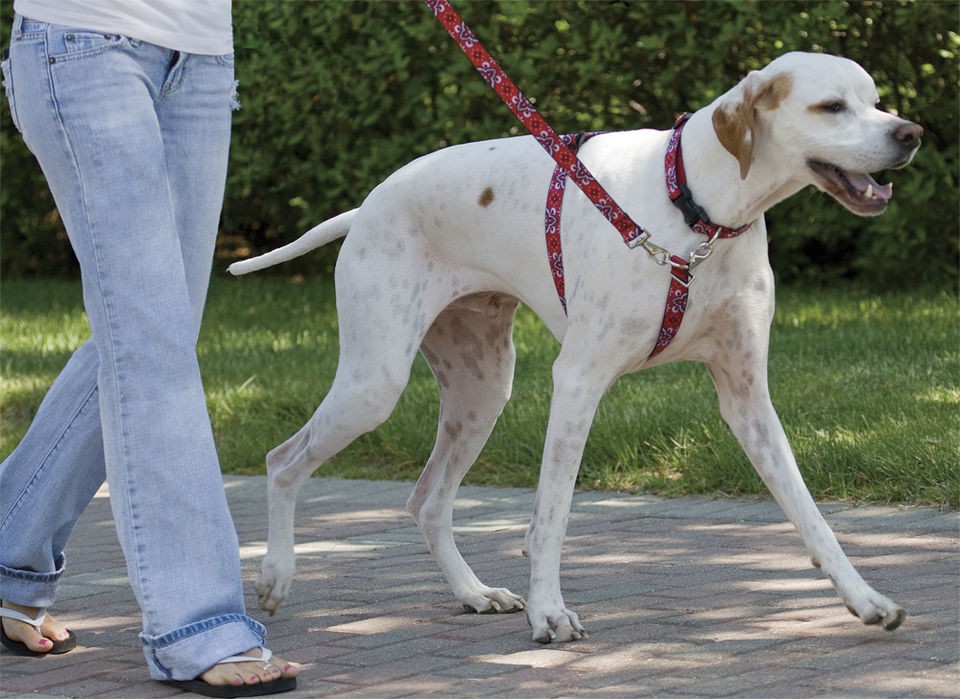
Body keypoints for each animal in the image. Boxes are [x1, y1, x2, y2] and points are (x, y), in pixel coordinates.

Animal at [227, 53, 924, 644]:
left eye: (876, 100)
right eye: (831, 106)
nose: (911, 133)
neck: (695, 211)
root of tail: (367, 206)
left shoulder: (748, 397)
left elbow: (810, 512)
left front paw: (865, 599)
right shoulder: (579, 381)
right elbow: (550, 516)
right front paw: (550, 614)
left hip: (482, 392)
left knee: (427, 500)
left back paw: (474, 593)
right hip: (374, 384)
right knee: (283, 461)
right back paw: (276, 576)